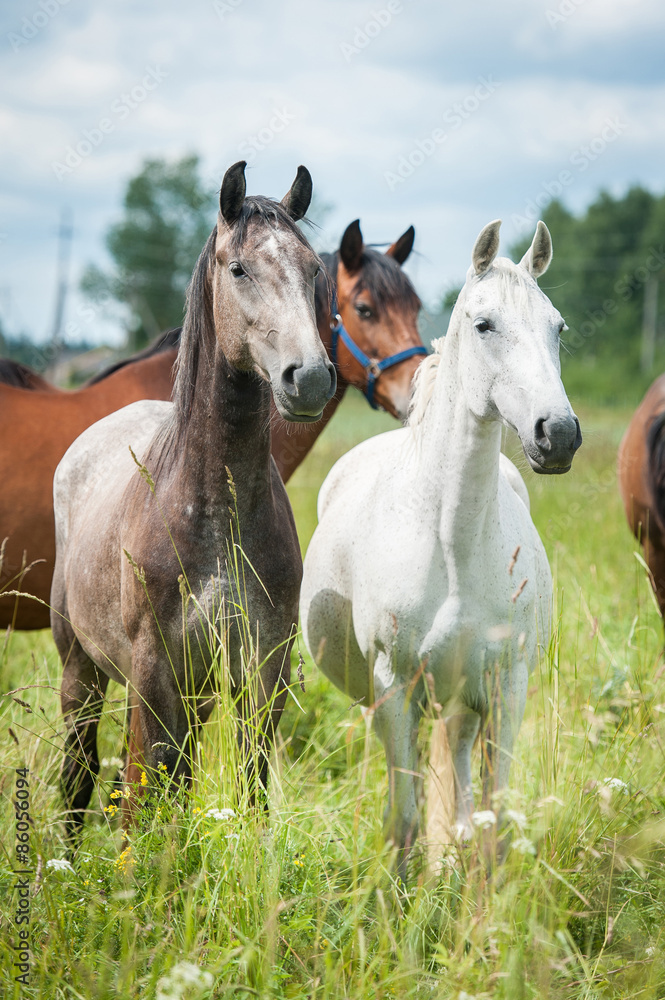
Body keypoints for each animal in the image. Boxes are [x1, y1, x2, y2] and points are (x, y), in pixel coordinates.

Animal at [50, 161, 336, 842]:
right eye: (238, 269)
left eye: (314, 270)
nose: (309, 378)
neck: (214, 515)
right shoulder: (152, 674)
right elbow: (139, 798)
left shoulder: (262, 673)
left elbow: (251, 790)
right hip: (81, 672)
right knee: (79, 776)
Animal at [300, 220, 582, 880]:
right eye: (484, 324)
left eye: (558, 327)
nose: (558, 434)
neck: (452, 542)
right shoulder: (395, 689)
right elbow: (403, 823)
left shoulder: (505, 689)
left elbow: (493, 824)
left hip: (460, 706)